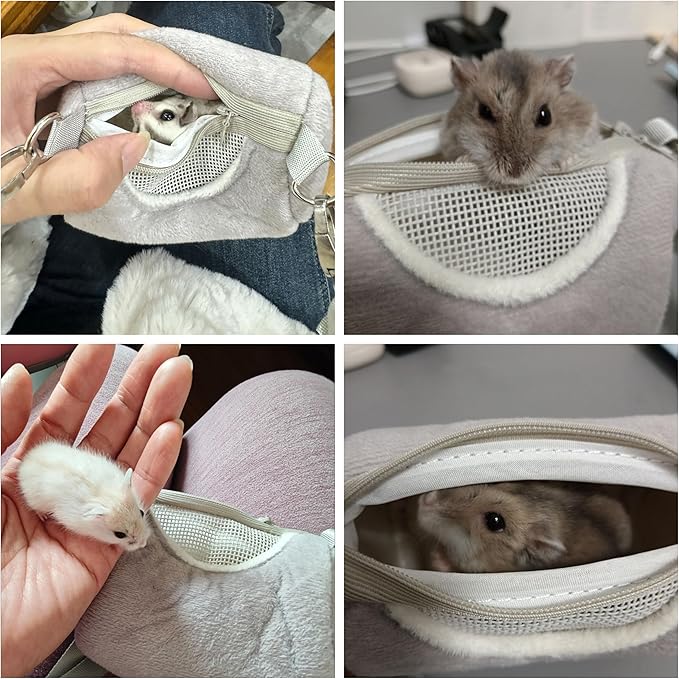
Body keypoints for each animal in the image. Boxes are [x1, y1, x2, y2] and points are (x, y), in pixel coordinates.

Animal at [18, 441, 150, 551]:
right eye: (119, 535)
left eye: (142, 512)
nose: (143, 544)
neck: (105, 494)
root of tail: (26, 460)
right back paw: (43, 516)